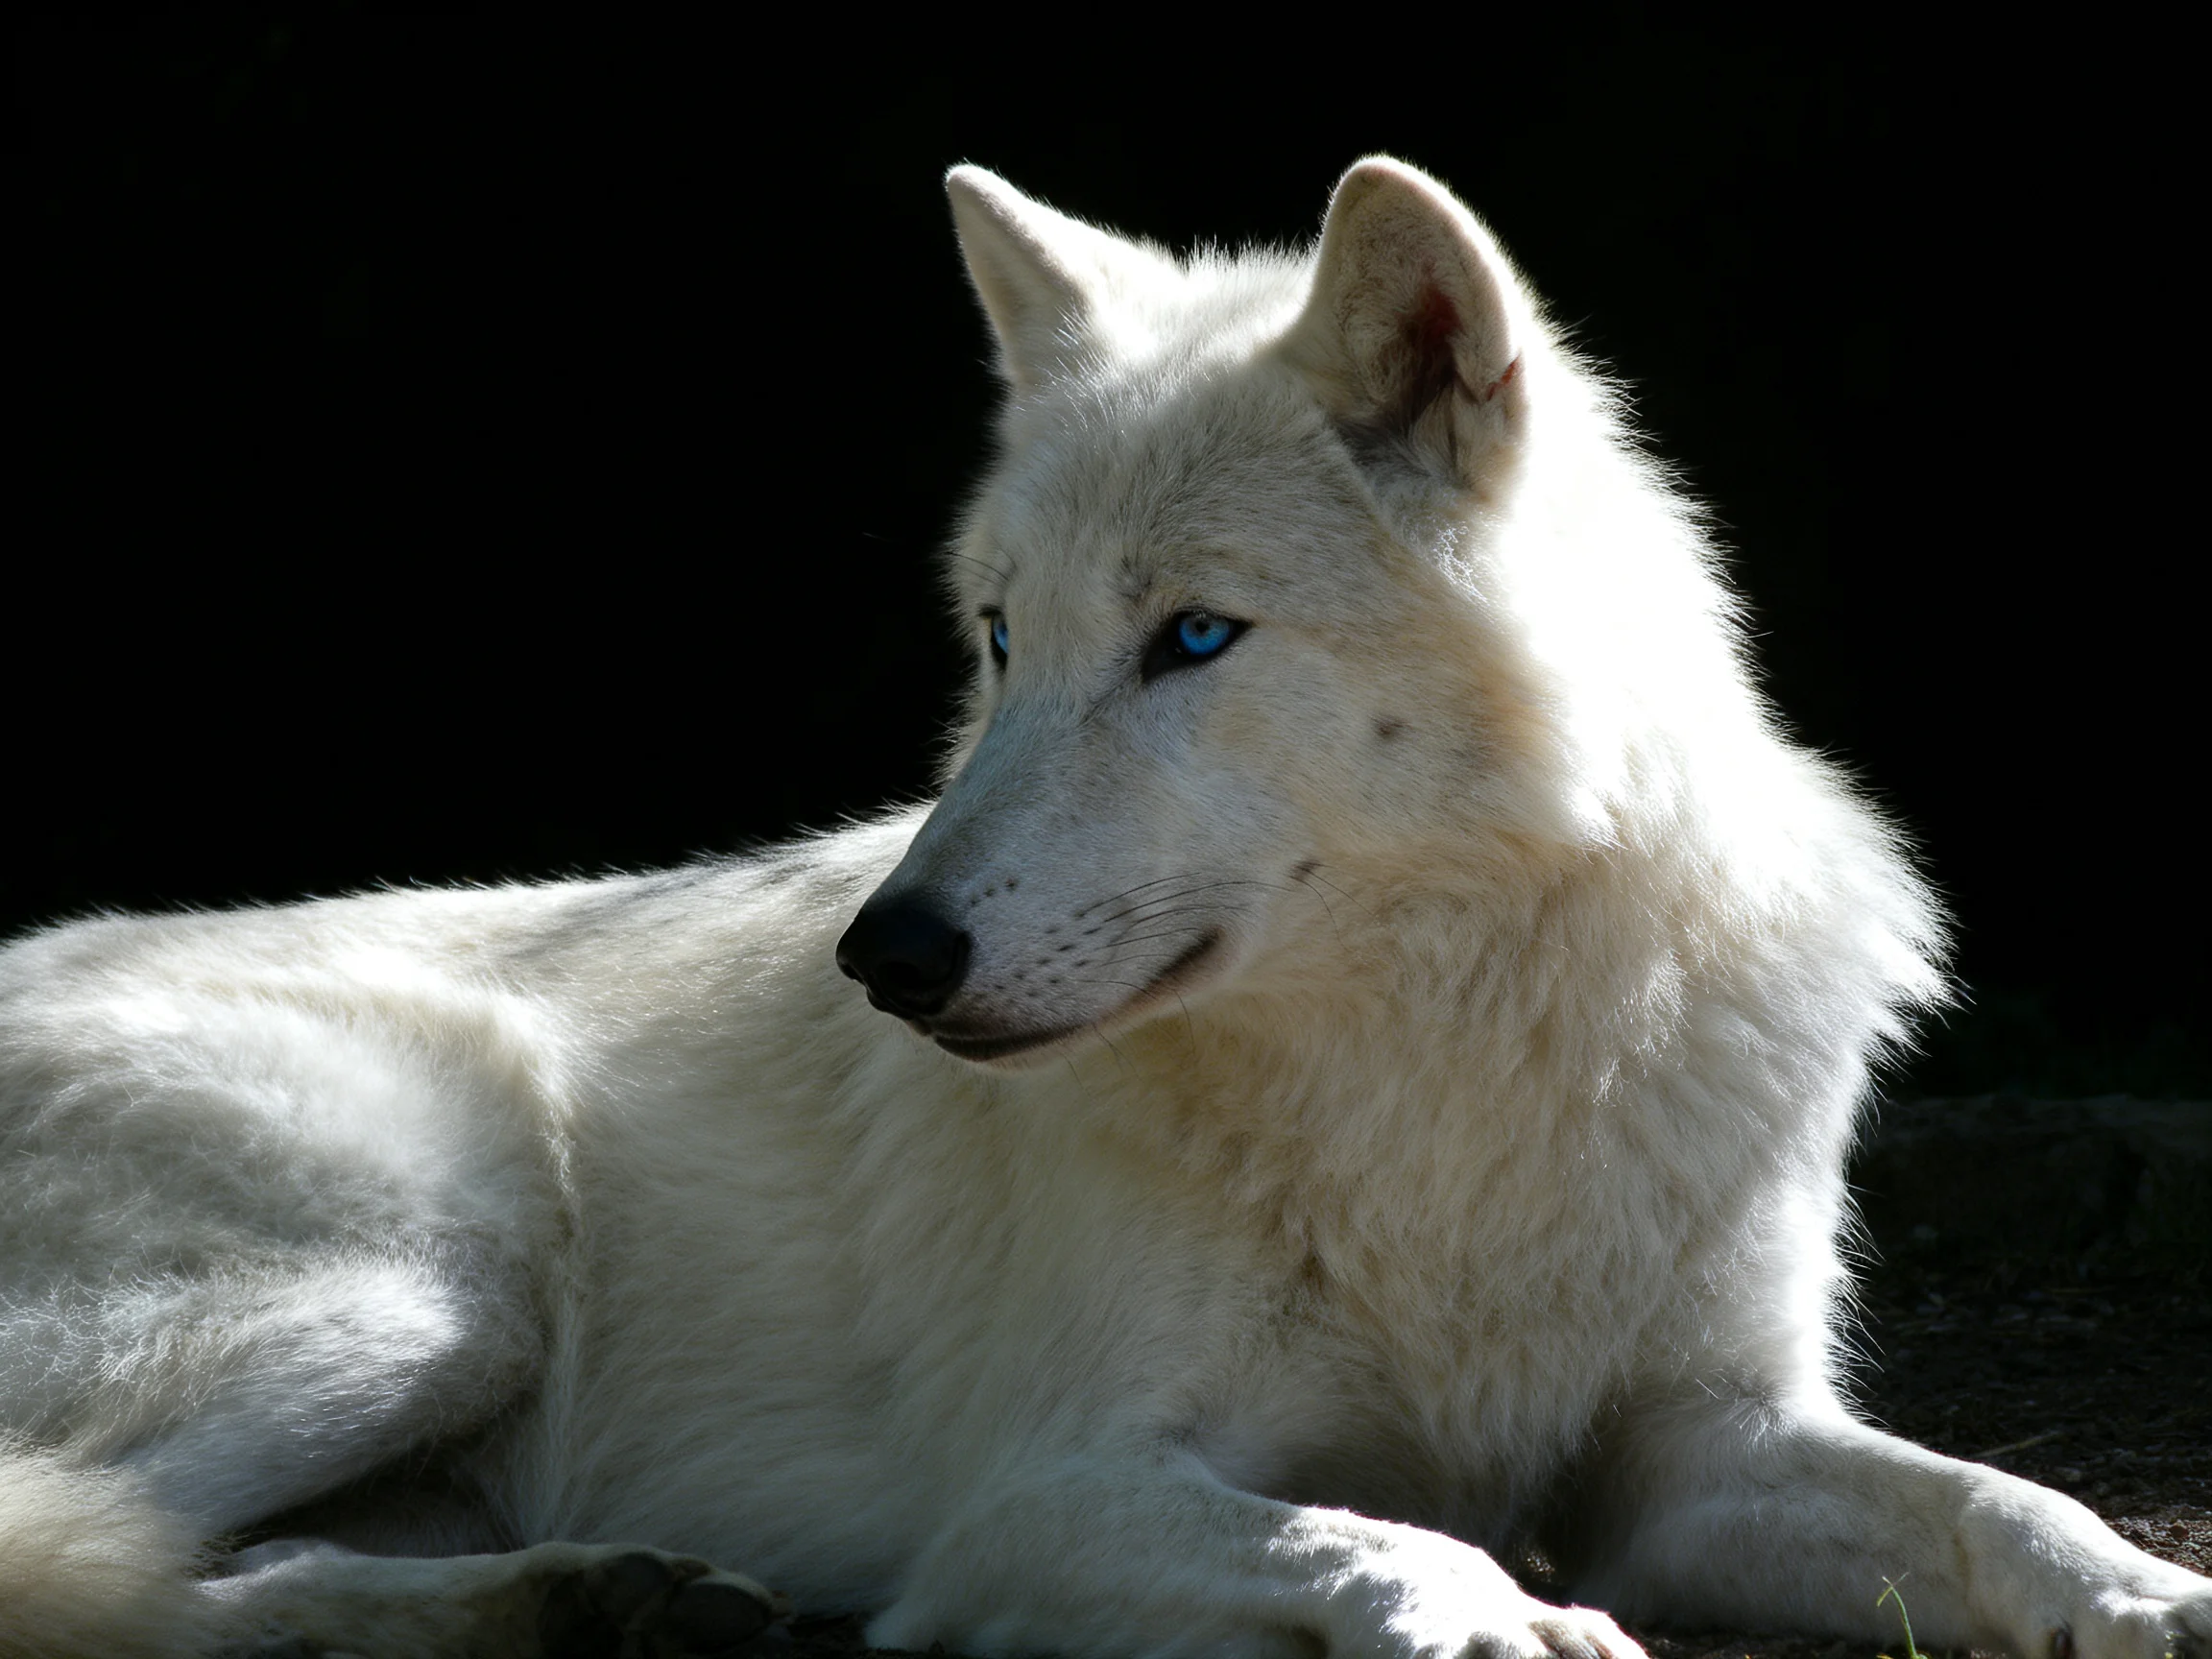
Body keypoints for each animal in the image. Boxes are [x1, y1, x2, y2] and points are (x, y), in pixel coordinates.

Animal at [3, 158, 2205, 1659]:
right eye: (1001, 637)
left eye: (1192, 638)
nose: (886, 958)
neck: (1447, 1071)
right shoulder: (1029, 1496)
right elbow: (1368, 1532)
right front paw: (1494, 1610)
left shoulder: (1699, 1448)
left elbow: (1999, 1498)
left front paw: (2147, 1584)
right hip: (426, 1272)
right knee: (102, 1577)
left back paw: (599, 1598)